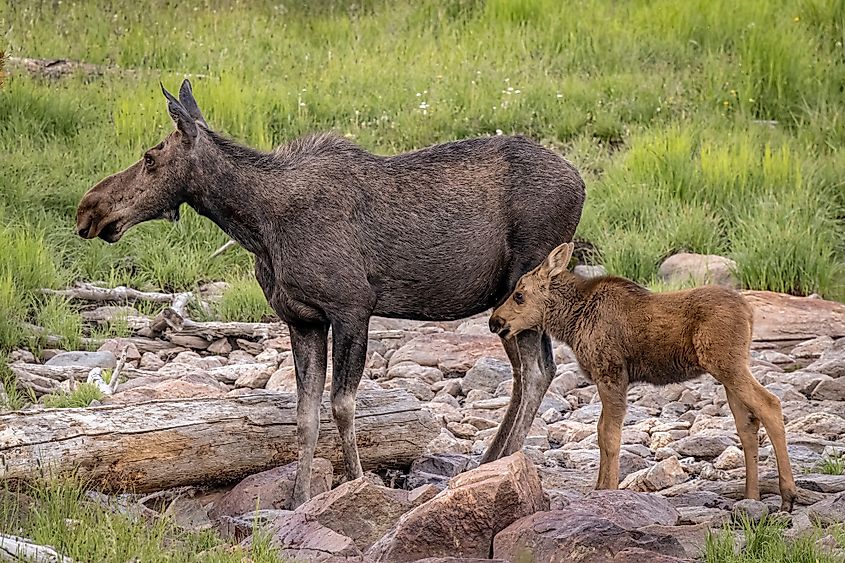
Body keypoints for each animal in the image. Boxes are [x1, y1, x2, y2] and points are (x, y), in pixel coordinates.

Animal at [76, 80, 586, 507]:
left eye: (149, 158)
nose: (88, 210)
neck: (258, 227)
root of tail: (582, 183)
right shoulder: (302, 318)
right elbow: (305, 415)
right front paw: (299, 498)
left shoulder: (352, 307)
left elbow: (343, 404)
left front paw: (356, 483)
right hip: (505, 306)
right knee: (527, 372)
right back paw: (489, 459)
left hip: (526, 284)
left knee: (537, 370)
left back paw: (503, 461)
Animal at [488, 242, 797, 512]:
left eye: (519, 295)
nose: (494, 322)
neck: (572, 323)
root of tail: (749, 312)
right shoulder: (607, 378)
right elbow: (600, 432)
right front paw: (599, 488)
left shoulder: (612, 372)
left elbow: (610, 435)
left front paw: (610, 489)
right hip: (729, 368)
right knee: (747, 424)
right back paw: (751, 497)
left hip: (727, 364)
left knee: (770, 404)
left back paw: (788, 496)